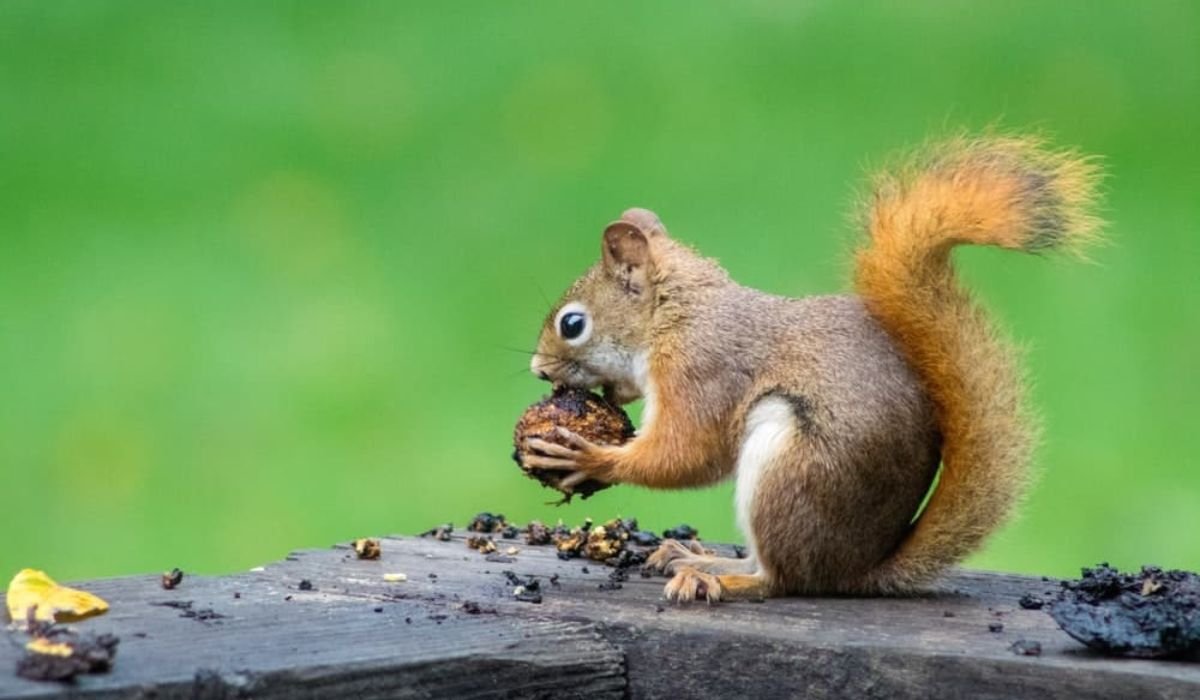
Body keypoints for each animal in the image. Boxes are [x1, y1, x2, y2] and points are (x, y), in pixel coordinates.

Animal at [522, 135, 1102, 602]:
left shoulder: (702, 370)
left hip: (788, 468)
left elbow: (687, 454)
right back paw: (694, 556)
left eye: (572, 324)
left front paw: (590, 456)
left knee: (781, 579)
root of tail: (855, 570)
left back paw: (718, 577)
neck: (677, 315)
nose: (537, 369)